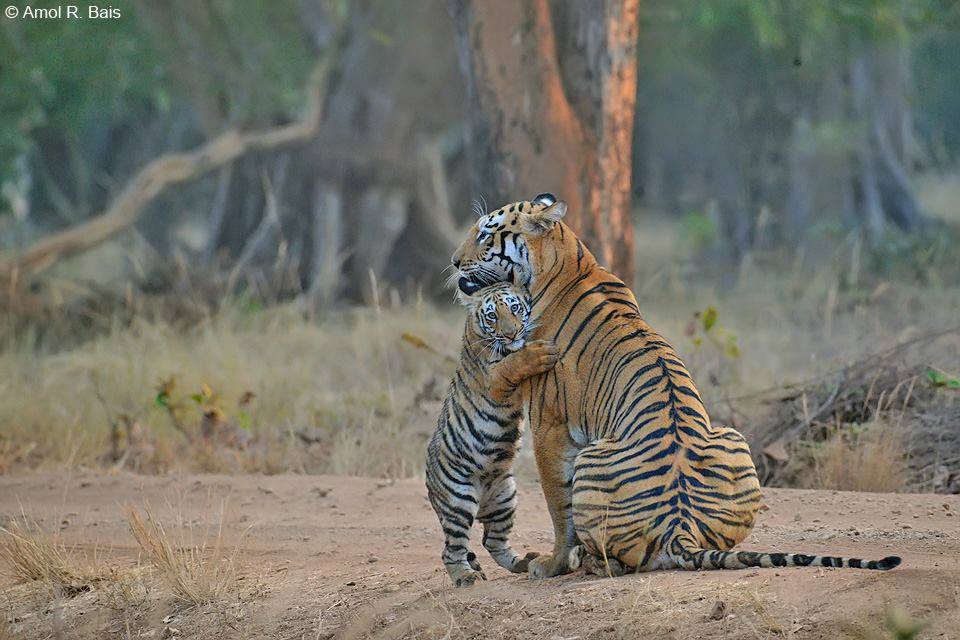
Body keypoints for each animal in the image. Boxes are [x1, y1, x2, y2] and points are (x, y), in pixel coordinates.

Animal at [450, 192, 900, 576]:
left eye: (485, 232)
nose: (454, 262)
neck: (569, 261)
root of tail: (680, 529)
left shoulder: (550, 425)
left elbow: (559, 506)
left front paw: (553, 563)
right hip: (734, 440)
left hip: (593, 456)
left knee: (613, 559)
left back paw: (588, 563)